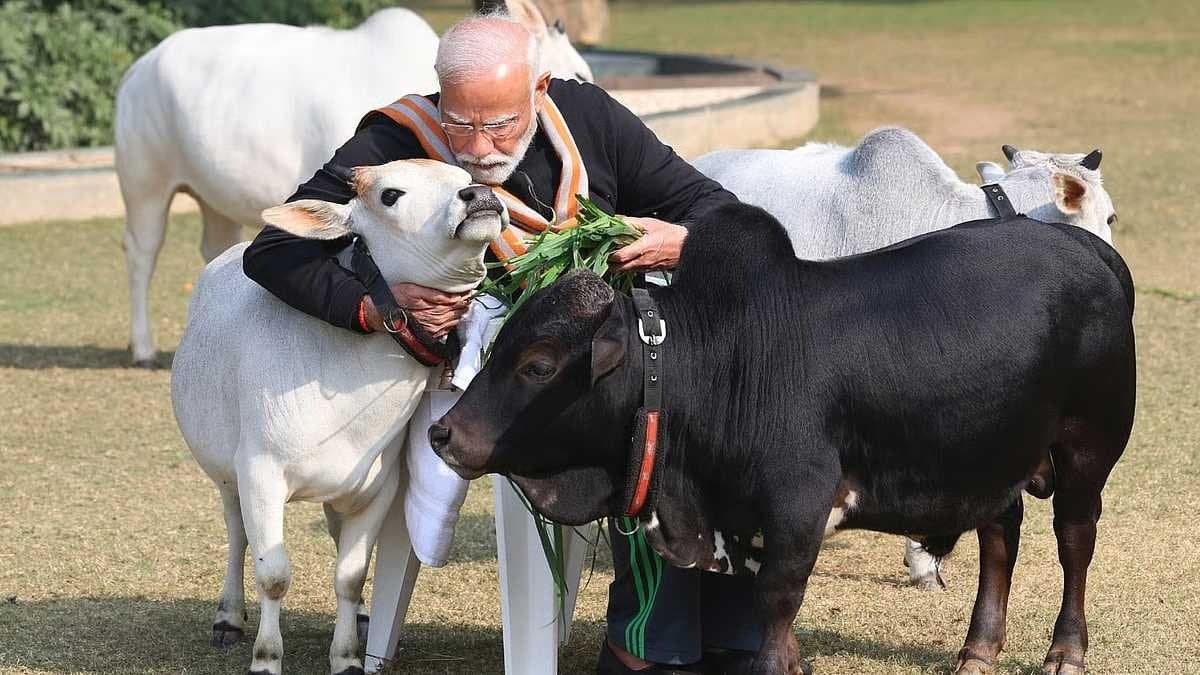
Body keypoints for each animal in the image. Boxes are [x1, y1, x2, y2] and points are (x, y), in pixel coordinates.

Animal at [116, 0, 592, 367]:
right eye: (581, 74)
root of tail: (139, 67)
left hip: (213, 201)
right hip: (145, 185)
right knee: (141, 255)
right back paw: (142, 347)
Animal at [170, 159, 505, 675]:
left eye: (462, 176)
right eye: (391, 194)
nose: (479, 196)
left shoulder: (378, 486)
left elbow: (350, 575)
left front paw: (347, 657)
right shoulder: (259, 474)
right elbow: (273, 575)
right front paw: (266, 658)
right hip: (225, 473)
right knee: (236, 533)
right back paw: (228, 617)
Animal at [430, 203, 1136, 675]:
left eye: (538, 365)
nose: (443, 433)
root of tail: (1085, 247)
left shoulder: (799, 502)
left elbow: (776, 597)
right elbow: (765, 600)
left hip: (1087, 451)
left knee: (1075, 543)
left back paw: (1066, 650)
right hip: (995, 456)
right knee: (1000, 537)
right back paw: (978, 649)